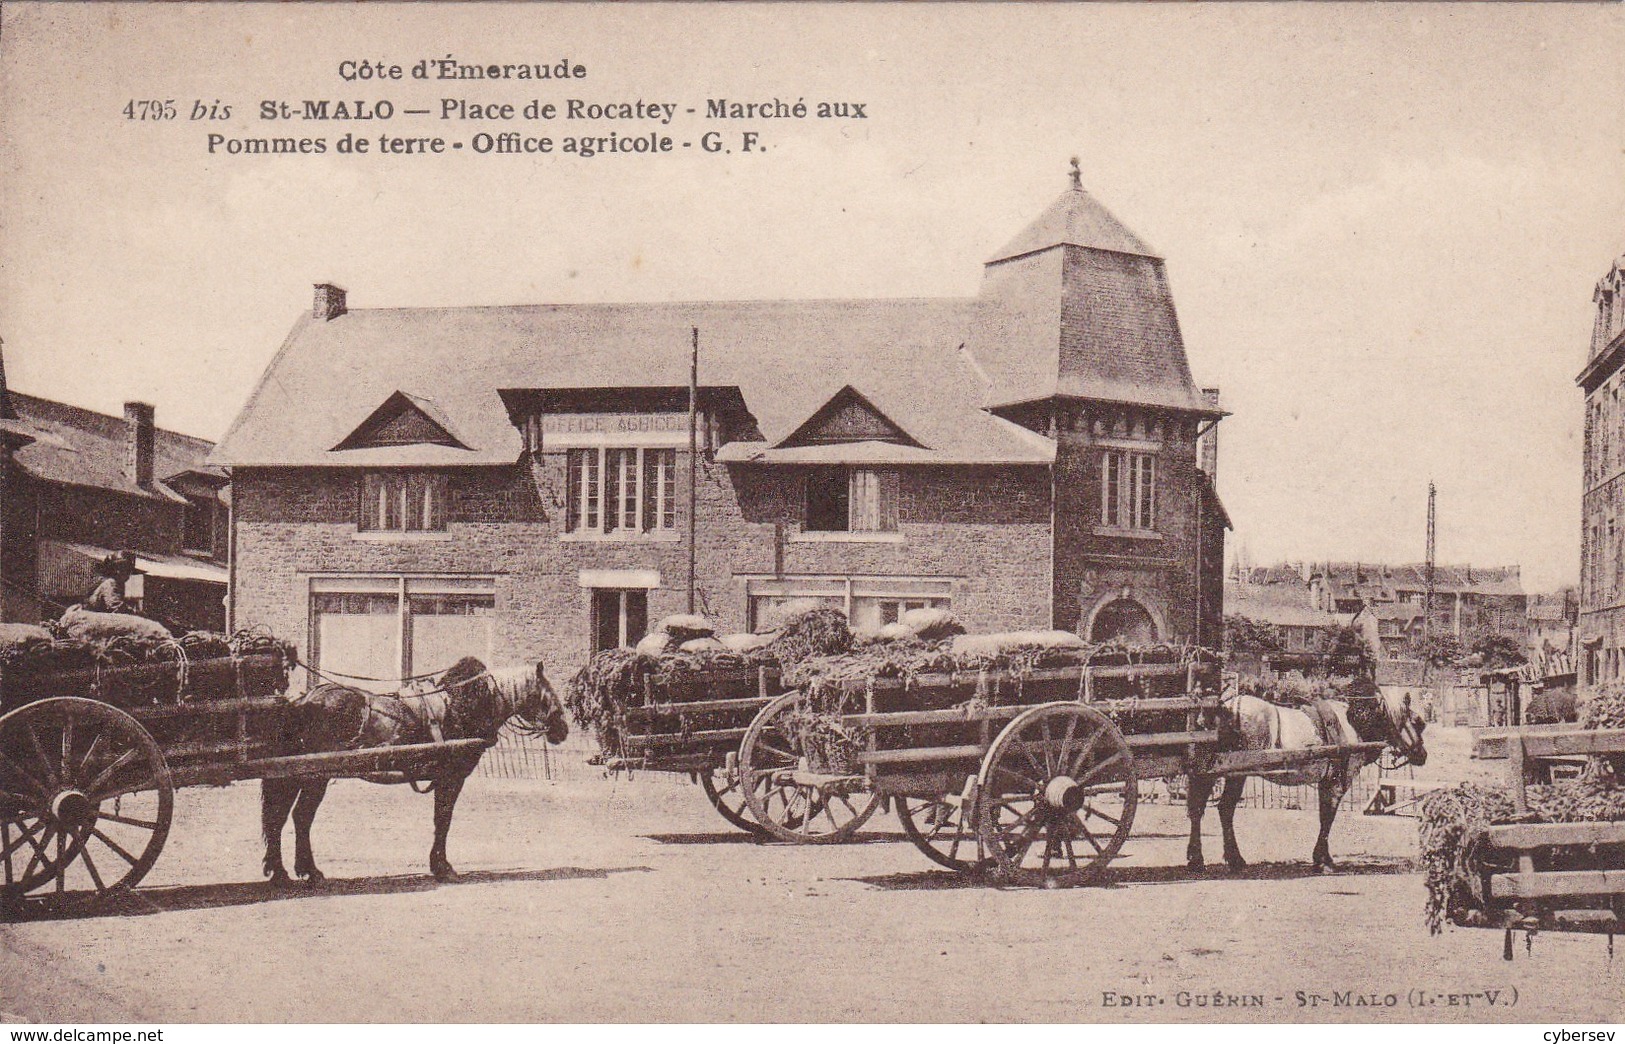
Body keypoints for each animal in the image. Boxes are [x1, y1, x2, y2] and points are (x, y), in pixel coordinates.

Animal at [261, 653, 572, 884]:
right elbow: (443, 820)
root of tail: (302, 701)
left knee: (285, 818)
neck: (462, 706)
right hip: (313, 776)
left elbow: (440, 821)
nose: (563, 730)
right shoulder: (451, 778)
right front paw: (443, 867)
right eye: (546, 693)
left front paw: (438, 865)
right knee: (296, 817)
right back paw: (302, 871)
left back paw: (285, 871)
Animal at [1189, 682, 1430, 871]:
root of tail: (1224, 707)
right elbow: (1327, 818)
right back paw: (1220, 858)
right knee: (1218, 809)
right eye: (1419, 722)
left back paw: (1205, 858)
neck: (1354, 722)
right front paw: (1323, 859)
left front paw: (1321, 857)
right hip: (1233, 773)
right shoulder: (1337, 782)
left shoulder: (1326, 781)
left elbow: (1325, 817)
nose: (1422, 755)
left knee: (1207, 810)